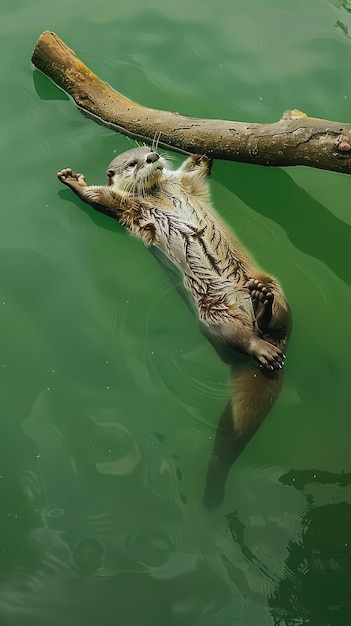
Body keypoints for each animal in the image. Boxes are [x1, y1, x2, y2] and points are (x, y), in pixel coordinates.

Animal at [57, 147, 292, 508]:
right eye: (133, 163)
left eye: (147, 151)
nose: (154, 155)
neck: (158, 193)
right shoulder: (129, 209)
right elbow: (100, 198)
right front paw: (74, 181)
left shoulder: (187, 185)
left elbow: (196, 172)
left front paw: (202, 153)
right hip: (213, 319)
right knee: (242, 339)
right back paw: (261, 342)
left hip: (278, 291)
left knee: (278, 312)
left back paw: (262, 301)